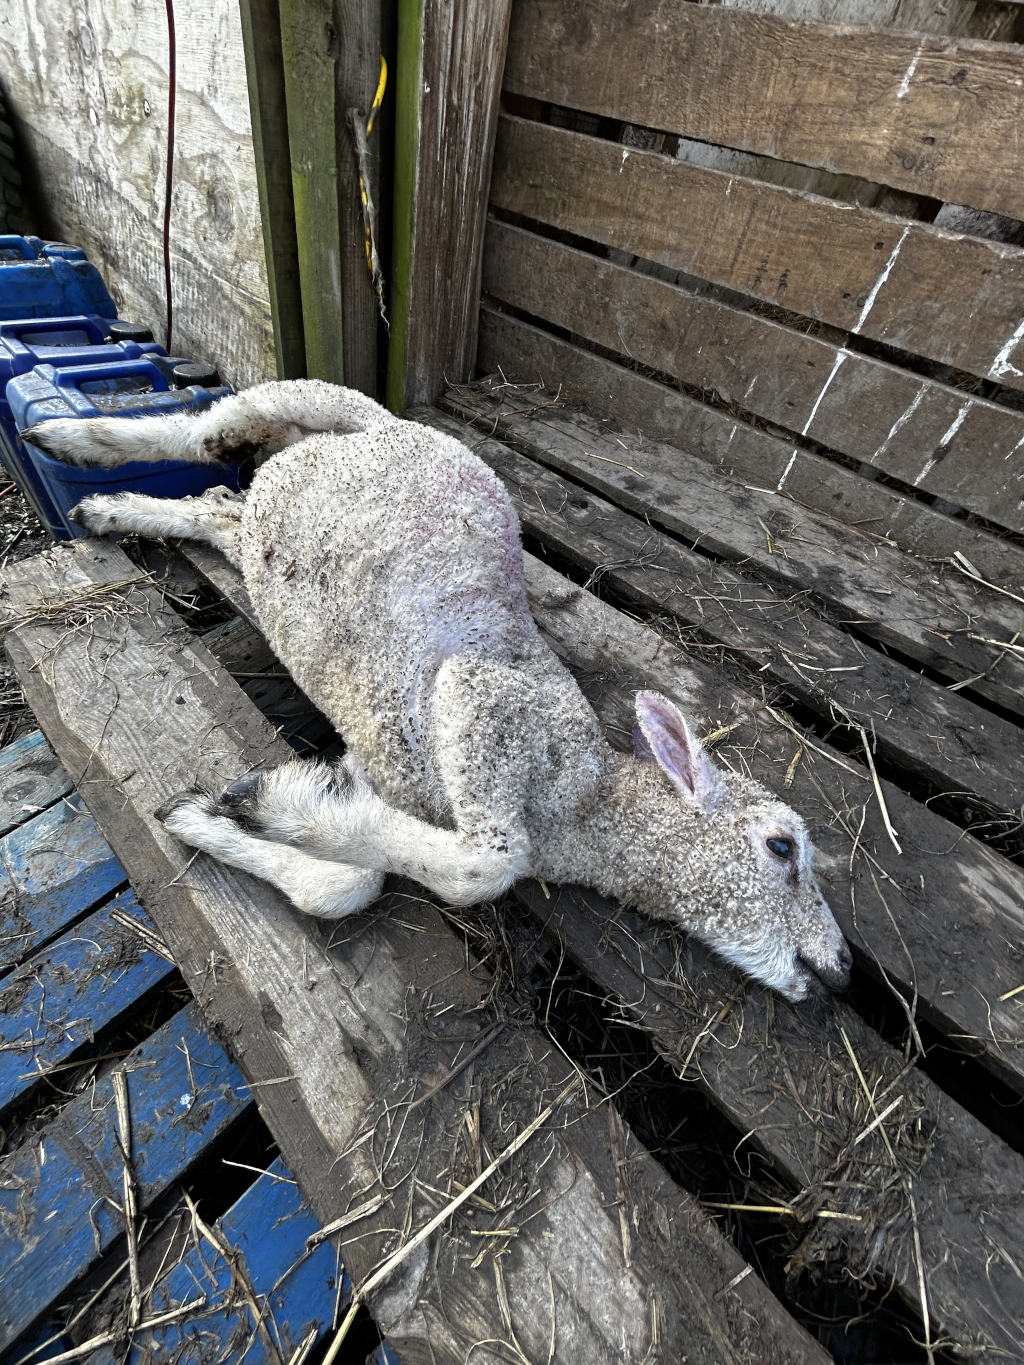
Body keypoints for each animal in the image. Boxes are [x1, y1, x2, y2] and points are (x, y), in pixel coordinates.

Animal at [26, 380, 853, 1002]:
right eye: (783, 847)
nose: (843, 970)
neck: (586, 808)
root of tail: (390, 426)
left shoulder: (371, 772)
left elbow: (346, 883)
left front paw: (221, 812)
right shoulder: (484, 697)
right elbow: (483, 865)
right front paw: (260, 806)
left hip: (261, 525)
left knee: (216, 502)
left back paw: (111, 508)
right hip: (304, 402)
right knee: (202, 430)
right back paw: (71, 439)